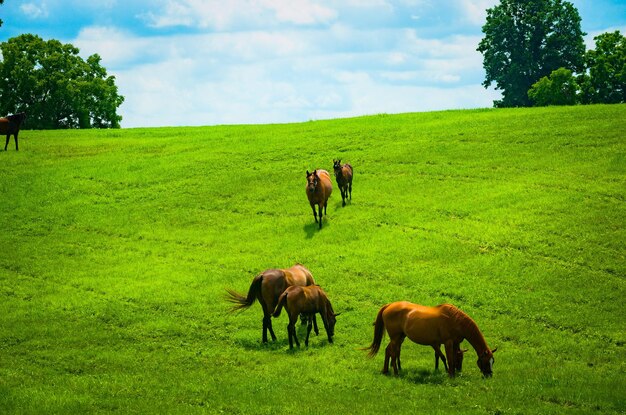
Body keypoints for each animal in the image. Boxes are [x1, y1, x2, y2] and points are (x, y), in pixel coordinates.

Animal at [364, 300, 494, 378]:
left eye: (493, 361)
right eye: (486, 361)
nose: (489, 375)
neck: (455, 320)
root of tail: (389, 305)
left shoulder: (453, 343)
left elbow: (448, 357)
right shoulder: (448, 342)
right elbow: (449, 359)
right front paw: (451, 376)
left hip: (399, 337)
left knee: (389, 351)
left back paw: (386, 370)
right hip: (396, 338)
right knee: (393, 353)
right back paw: (396, 373)